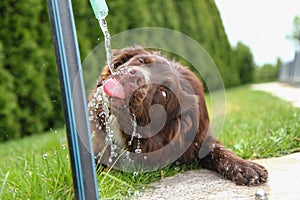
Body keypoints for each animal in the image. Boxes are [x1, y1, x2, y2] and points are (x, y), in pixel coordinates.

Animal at [88, 46, 268, 185]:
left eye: (163, 93)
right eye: (141, 61)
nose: (136, 77)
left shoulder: (199, 139)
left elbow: (219, 150)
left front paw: (244, 166)